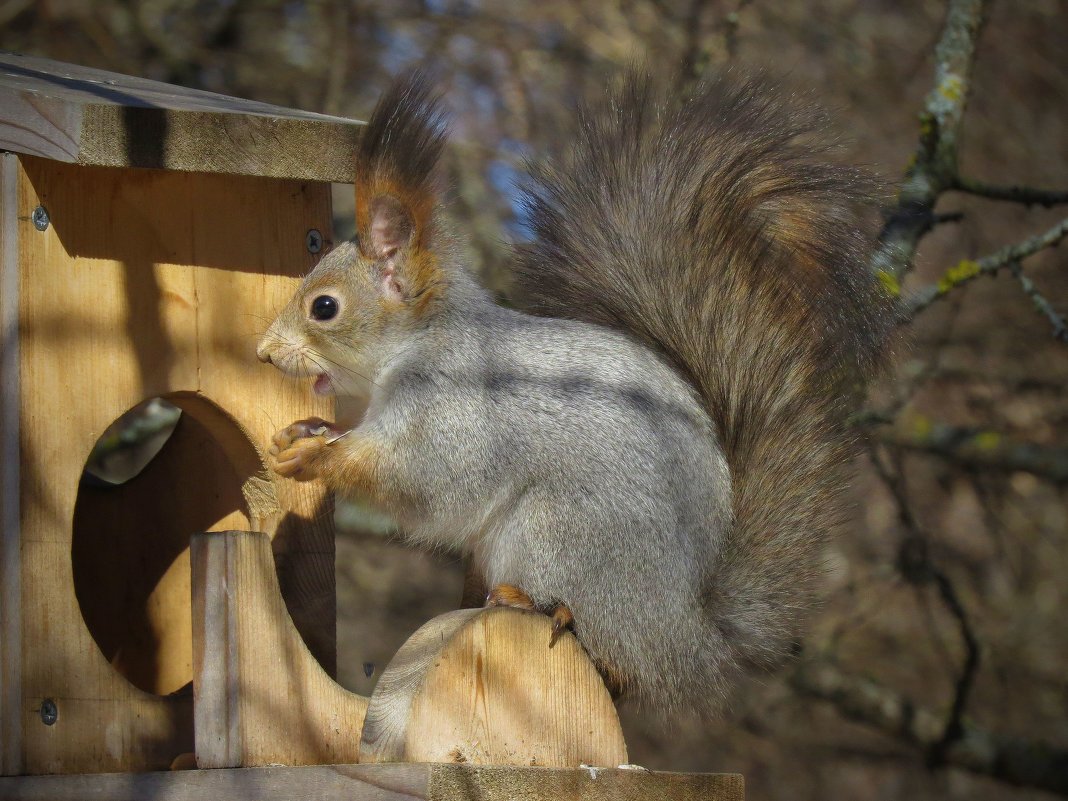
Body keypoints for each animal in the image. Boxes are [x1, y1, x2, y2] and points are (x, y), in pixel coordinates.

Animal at [256, 70, 892, 713]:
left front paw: (316, 457)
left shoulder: (455, 413)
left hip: (562, 533)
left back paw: (536, 604)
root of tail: (688, 636)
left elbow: (422, 480)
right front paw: (308, 432)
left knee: (612, 656)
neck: (417, 346)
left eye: (324, 307)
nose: (262, 353)